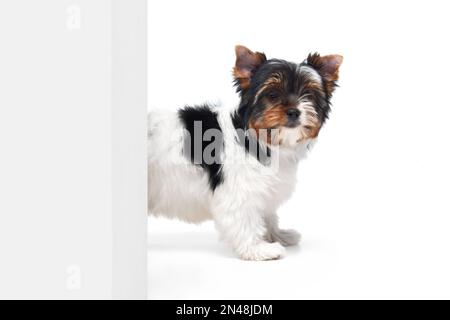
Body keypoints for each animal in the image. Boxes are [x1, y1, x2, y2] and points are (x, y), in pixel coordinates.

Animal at [148, 45, 342, 260]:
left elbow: (268, 213)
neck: (259, 137)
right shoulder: (240, 190)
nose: (294, 111)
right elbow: (245, 218)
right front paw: (257, 248)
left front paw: (277, 234)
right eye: (272, 95)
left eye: (308, 94)